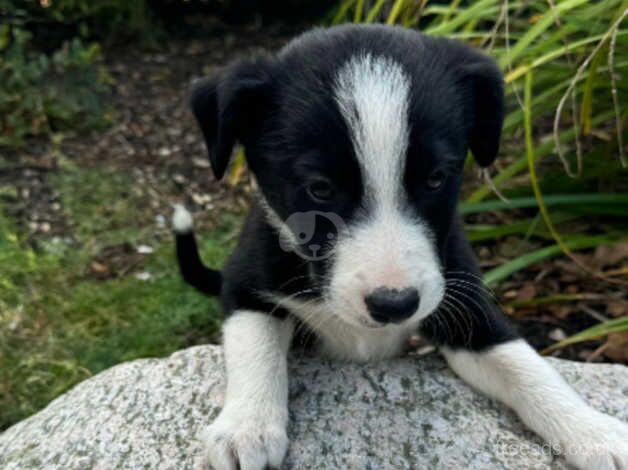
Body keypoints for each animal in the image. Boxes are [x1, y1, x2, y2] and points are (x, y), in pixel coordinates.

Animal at [174, 23, 628, 470]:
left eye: (436, 178)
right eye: (319, 189)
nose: (395, 305)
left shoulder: (466, 306)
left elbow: (524, 364)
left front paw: (594, 431)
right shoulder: (246, 282)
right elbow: (255, 345)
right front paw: (246, 428)